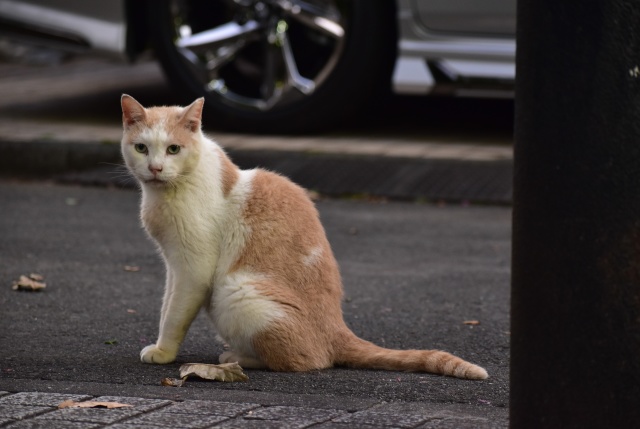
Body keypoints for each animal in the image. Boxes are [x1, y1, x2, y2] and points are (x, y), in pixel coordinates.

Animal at [121, 93, 490, 378]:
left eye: (173, 149)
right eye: (141, 148)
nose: (155, 168)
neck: (165, 193)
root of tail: (338, 328)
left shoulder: (193, 269)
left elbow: (174, 314)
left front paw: (163, 352)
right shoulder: (173, 265)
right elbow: (166, 303)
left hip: (238, 293)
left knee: (305, 362)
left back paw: (236, 358)